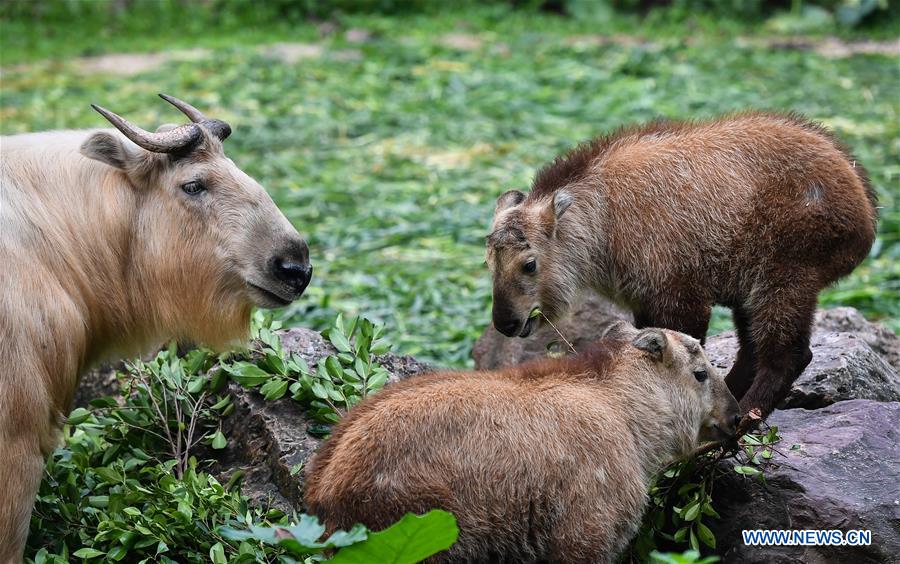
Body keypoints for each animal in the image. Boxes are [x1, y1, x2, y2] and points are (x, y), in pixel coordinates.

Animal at [488, 111, 876, 418]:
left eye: (529, 264)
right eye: (489, 260)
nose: (505, 323)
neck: (604, 220)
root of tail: (866, 210)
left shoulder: (681, 299)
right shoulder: (645, 303)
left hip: (785, 277)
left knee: (789, 356)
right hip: (750, 290)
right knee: (751, 353)